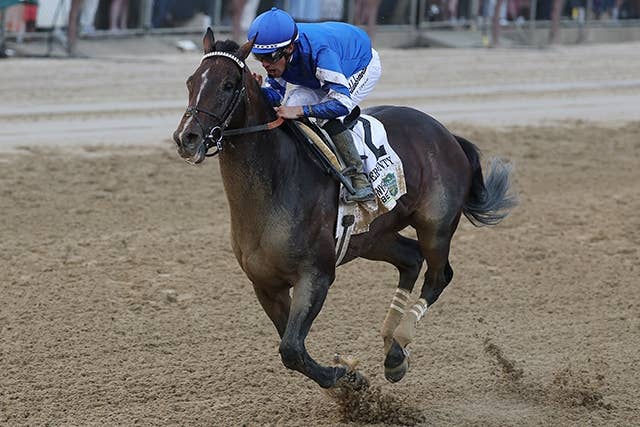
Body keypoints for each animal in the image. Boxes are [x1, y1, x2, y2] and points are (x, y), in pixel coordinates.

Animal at [173, 29, 516, 390]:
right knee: (410, 258)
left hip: (435, 226)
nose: (187, 137)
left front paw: (347, 378)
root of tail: (448, 134)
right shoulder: (266, 285)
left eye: (228, 85)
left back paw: (398, 348)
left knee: (439, 276)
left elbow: (291, 349)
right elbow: (291, 347)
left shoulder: (316, 275)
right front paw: (346, 379)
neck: (274, 189)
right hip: (373, 236)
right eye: (191, 81)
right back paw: (390, 343)